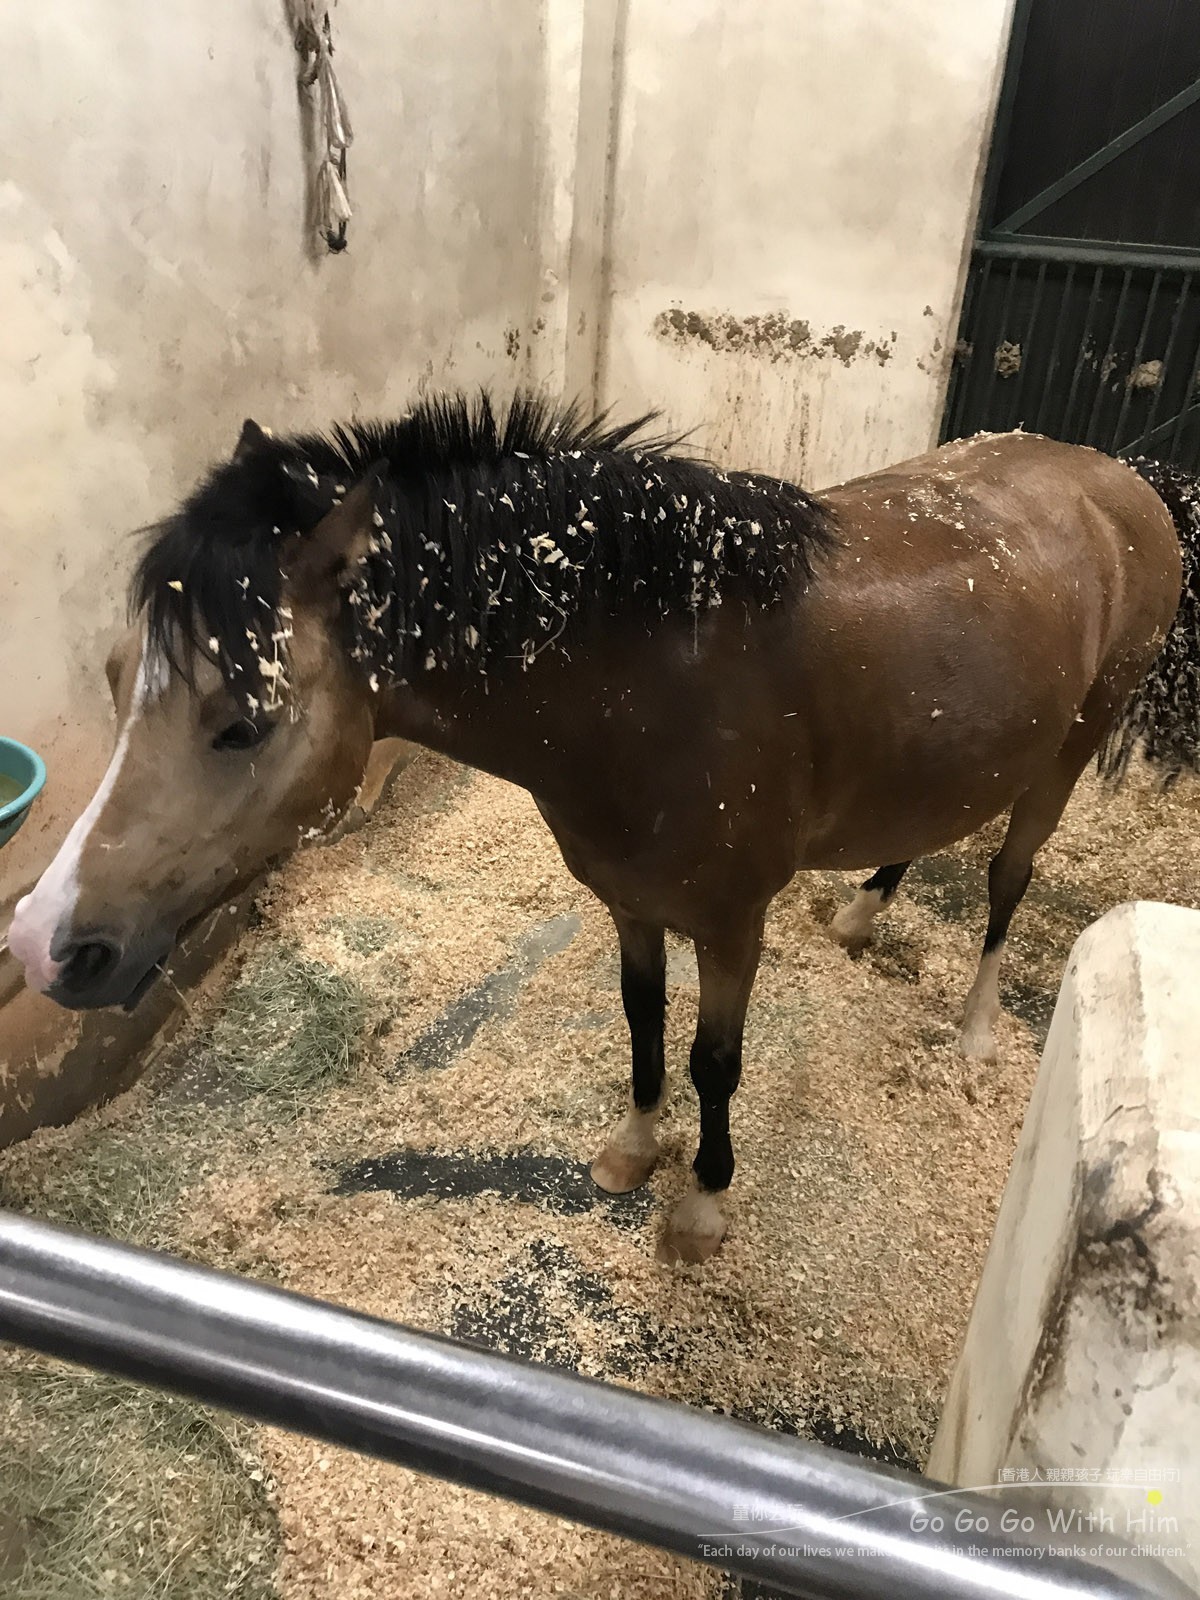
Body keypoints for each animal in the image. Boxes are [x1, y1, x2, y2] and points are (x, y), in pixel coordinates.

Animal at [8, 391, 1199, 1265]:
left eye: (241, 723)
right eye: (114, 678)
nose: (43, 942)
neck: (656, 680)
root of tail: (1120, 477)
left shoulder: (730, 925)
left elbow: (715, 1061)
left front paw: (702, 1205)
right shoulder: (630, 901)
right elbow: (639, 1023)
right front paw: (631, 1150)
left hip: (1066, 755)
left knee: (1008, 877)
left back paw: (976, 1031)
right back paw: (864, 914)